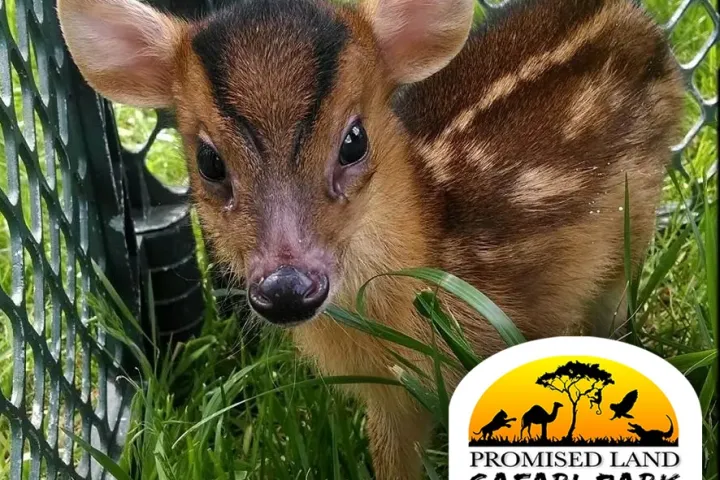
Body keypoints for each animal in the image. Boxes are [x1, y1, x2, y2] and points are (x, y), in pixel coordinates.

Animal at [56, 0, 684, 478]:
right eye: (209, 161)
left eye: (354, 140)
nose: (287, 288)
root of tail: (639, 21)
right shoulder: (389, 399)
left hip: (636, 220)